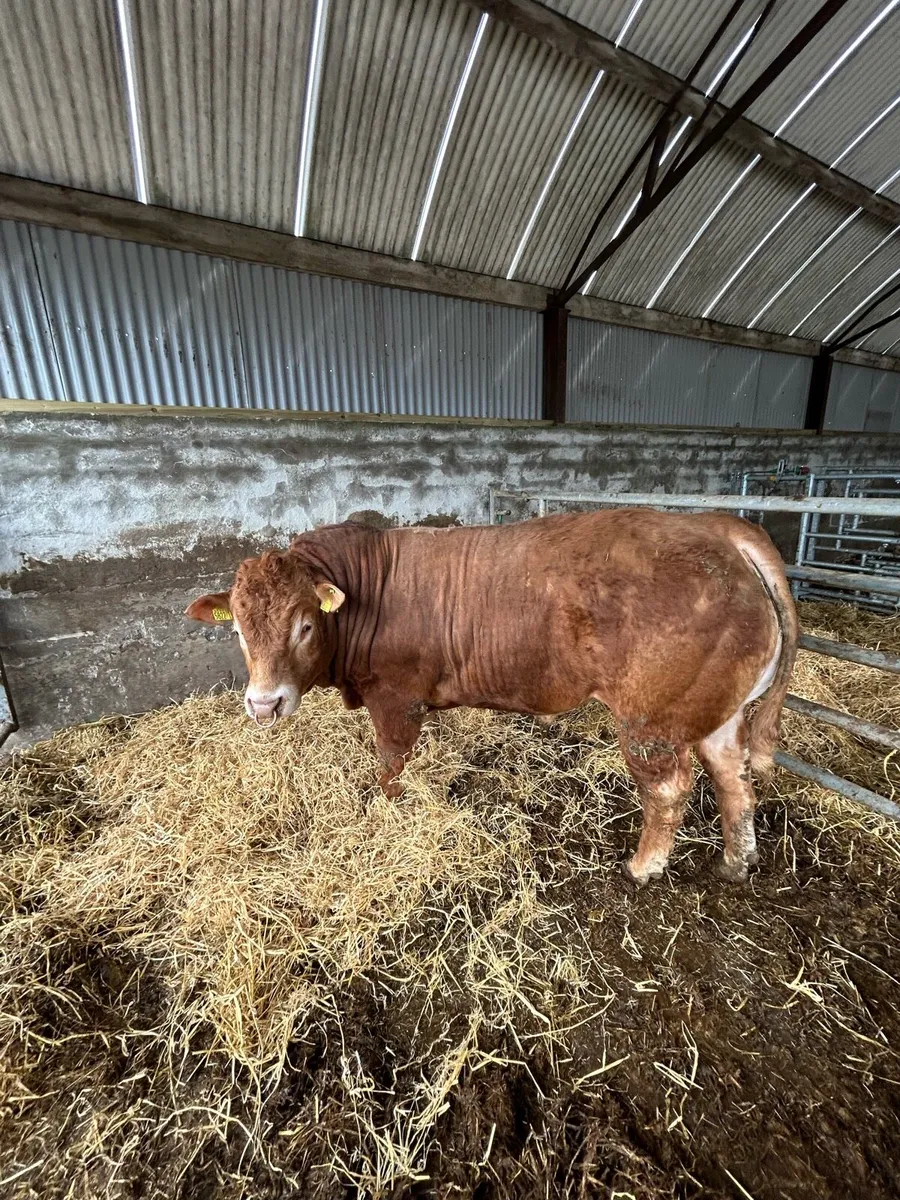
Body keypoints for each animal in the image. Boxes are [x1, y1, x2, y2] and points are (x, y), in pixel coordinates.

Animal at [186, 510, 798, 886]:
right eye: (237, 628)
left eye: (306, 625)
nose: (263, 704)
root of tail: (718, 530)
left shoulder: (396, 697)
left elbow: (391, 763)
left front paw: (389, 807)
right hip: (718, 711)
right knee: (732, 775)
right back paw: (736, 861)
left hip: (651, 720)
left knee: (670, 789)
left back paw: (644, 865)